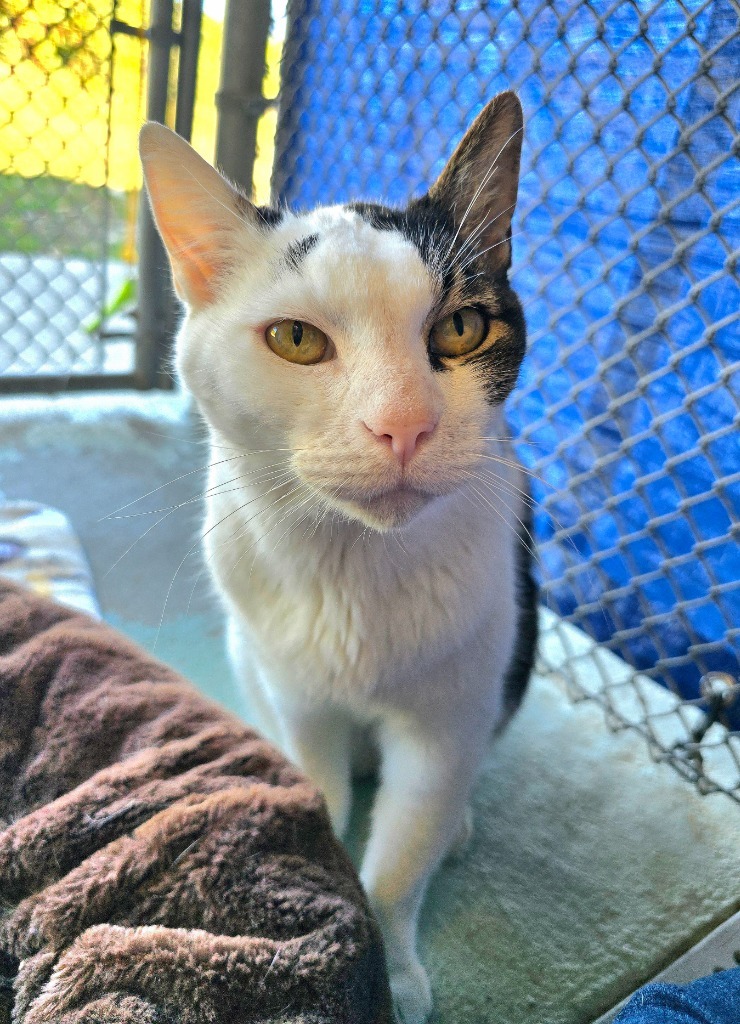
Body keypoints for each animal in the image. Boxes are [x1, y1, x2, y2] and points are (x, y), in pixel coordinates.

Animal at [140, 90, 540, 1024]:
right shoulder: (300, 698)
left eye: (461, 327)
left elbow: (403, 850)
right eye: (294, 338)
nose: (404, 425)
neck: (352, 567)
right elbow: (320, 791)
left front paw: (390, 965)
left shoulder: (447, 721)